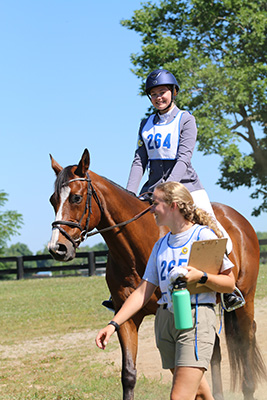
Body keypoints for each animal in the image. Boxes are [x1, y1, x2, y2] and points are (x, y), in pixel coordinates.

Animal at [47, 148, 266, 400]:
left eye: (76, 198)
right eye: (52, 200)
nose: (57, 248)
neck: (134, 251)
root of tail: (240, 220)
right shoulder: (127, 315)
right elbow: (129, 374)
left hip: (246, 298)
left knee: (245, 341)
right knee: (215, 352)